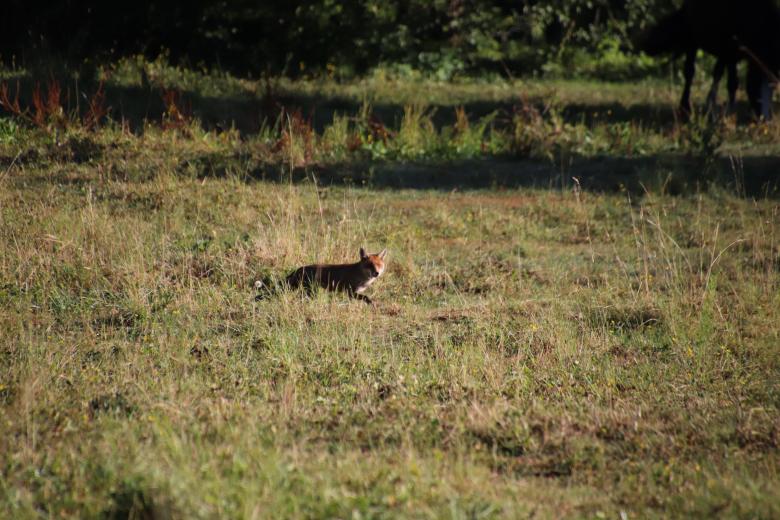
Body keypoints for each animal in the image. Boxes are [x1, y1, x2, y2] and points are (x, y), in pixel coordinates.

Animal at [256, 247, 387, 304]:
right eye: (370, 265)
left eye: (379, 265)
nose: (376, 273)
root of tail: (299, 269)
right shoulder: (350, 292)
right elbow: (366, 298)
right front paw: (371, 303)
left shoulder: (353, 293)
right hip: (308, 290)